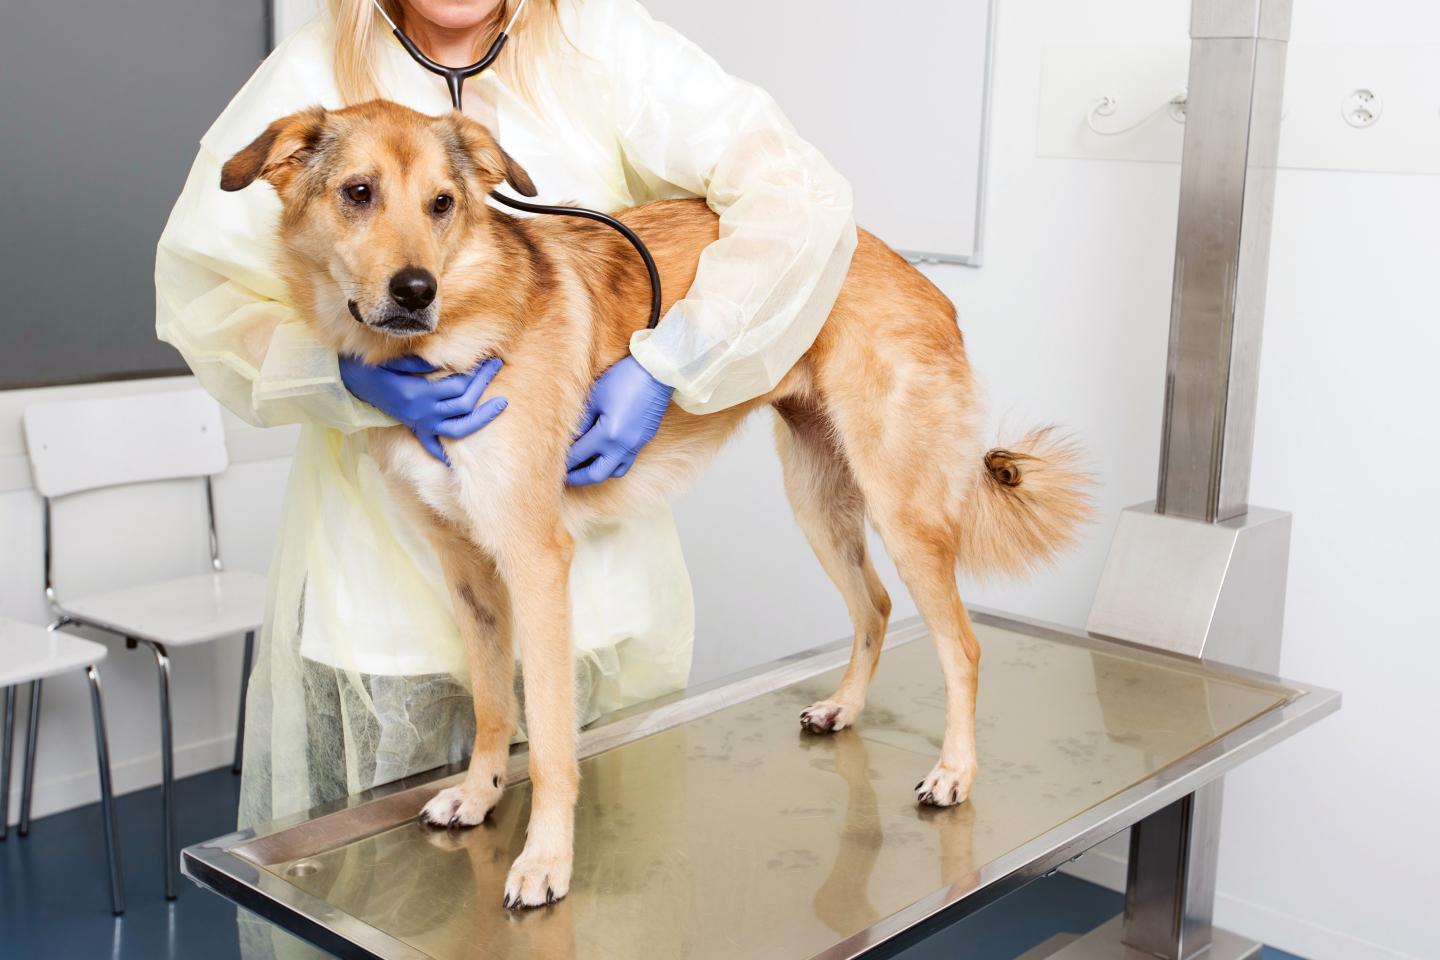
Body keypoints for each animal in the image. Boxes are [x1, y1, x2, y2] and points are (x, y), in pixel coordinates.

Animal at [216, 101, 1088, 915]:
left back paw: (954, 773)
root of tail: (916, 274)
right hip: (818, 503)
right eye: (358, 193)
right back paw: (842, 708)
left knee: (962, 646)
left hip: (902, 510)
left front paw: (546, 862)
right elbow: (494, 706)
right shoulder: (468, 569)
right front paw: (479, 793)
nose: (415, 291)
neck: (443, 344)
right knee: (872, 605)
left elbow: (553, 743)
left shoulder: (536, 564)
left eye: (442, 205)